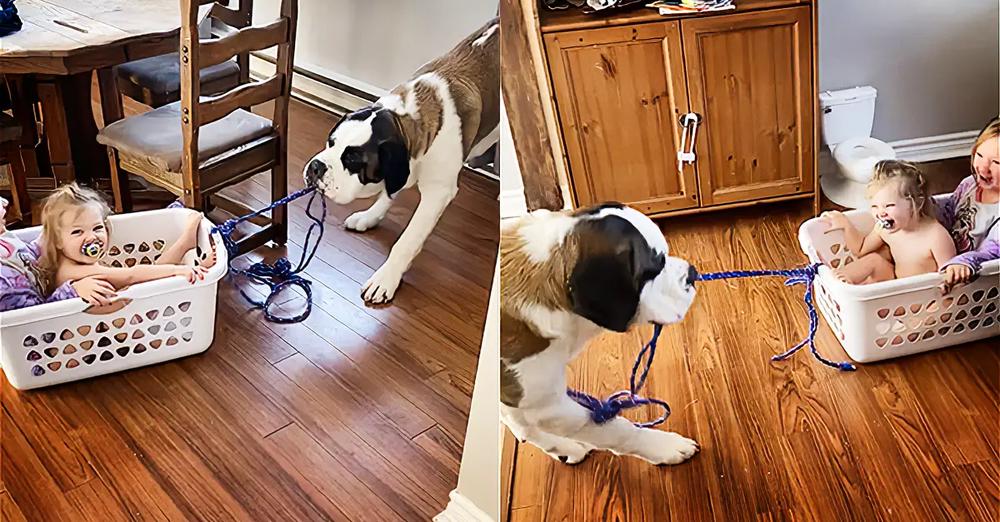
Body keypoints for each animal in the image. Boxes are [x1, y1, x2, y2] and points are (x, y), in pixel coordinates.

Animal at [300, 18, 496, 302]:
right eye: (330, 142)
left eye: (353, 159)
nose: (316, 167)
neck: (406, 120)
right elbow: (389, 193)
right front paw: (370, 216)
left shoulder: (438, 193)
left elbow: (407, 241)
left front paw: (385, 279)